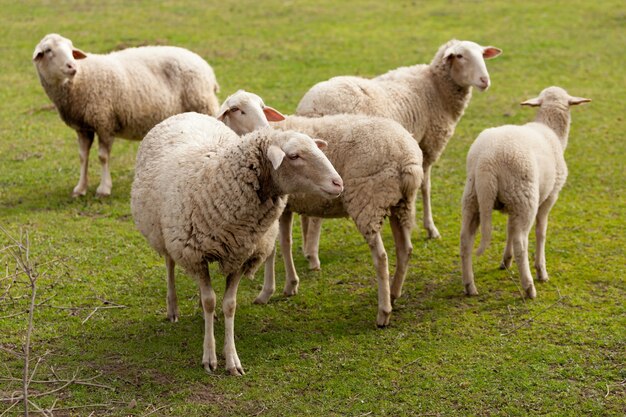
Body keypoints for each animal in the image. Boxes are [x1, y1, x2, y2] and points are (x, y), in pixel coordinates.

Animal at [34, 33, 221, 197]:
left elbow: (102, 157)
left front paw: (104, 189)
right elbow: (82, 157)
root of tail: (207, 68)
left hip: (203, 104)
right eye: (48, 50)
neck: (79, 80)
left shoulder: (105, 122)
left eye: (71, 48)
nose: (72, 67)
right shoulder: (82, 128)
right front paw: (80, 188)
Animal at [130, 112, 342, 376]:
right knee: (169, 264)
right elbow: (209, 301)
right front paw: (209, 357)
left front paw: (232, 360)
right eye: (294, 156)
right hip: (164, 232)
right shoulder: (195, 254)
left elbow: (229, 305)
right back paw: (173, 308)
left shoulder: (243, 255)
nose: (338, 183)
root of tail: (187, 113)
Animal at [294, 39, 502, 270]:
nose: (485, 80)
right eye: (460, 56)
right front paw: (430, 228)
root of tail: (312, 107)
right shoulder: (427, 146)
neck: (435, 87)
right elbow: (425, 186)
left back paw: (306, 247)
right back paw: (313, 256)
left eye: (482, 55)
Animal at [456, 86, 588, 298]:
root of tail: (487, 162)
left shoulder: (512, 206)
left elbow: (509, 229)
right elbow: (541, 232)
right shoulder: (549, 197)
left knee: (465, 240)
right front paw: (541, 270)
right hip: (525, 198)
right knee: (521, 243)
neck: (551, 130)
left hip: (476, 197)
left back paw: (469, 286)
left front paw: (505, 261)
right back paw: (529, 287)